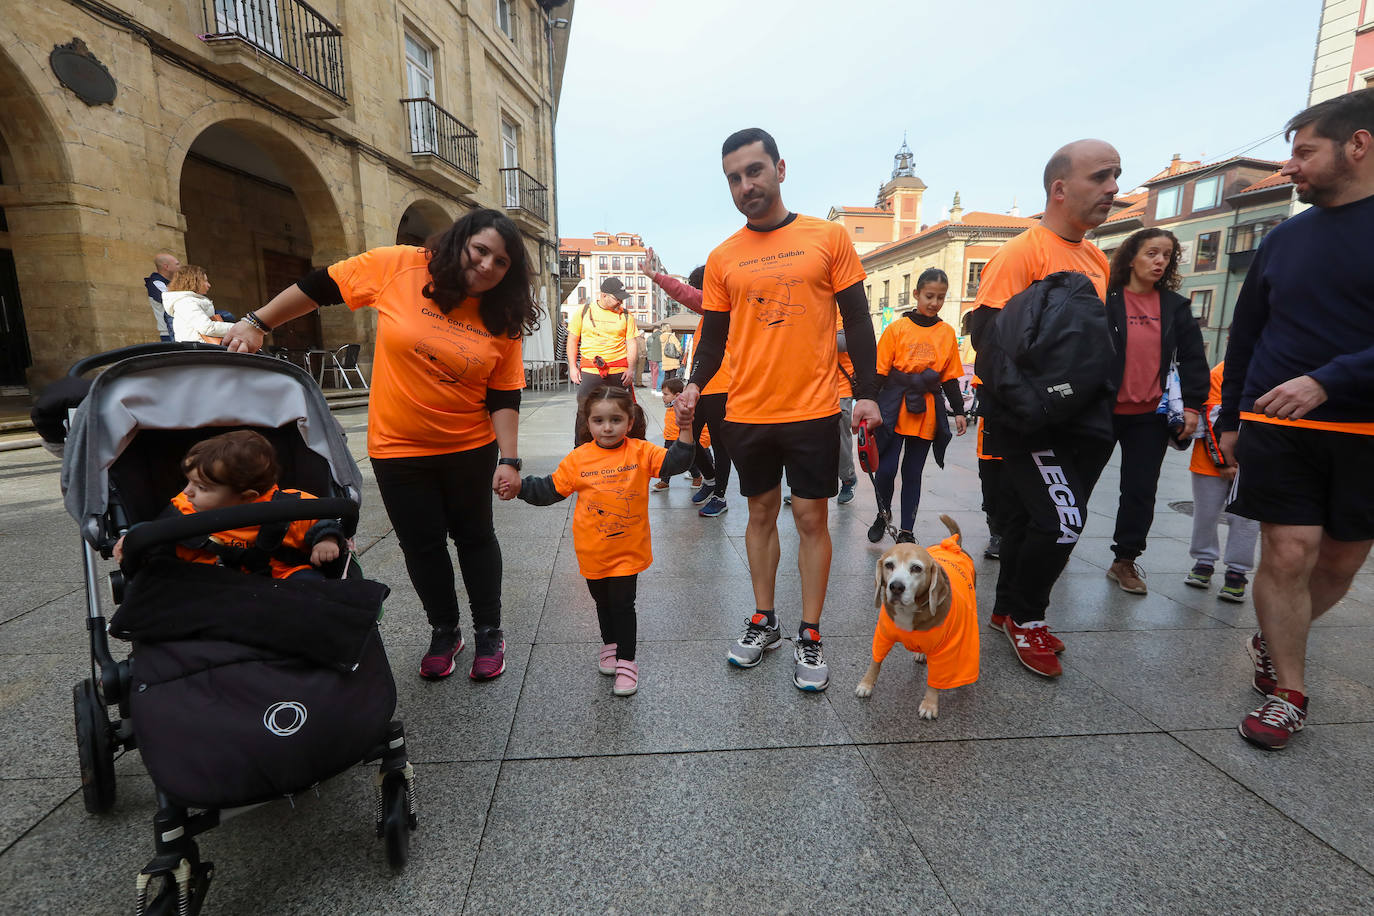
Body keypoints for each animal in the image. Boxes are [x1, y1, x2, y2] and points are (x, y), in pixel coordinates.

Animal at [857, 513, 978, 719]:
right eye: (889, 565)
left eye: (916, 568)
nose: (896, 587)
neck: (909, 611)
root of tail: (955, 545)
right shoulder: (883, 635)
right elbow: (875, 661)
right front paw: (866, 684)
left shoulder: (944, 651)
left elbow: (936, 680)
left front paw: (930, 704)